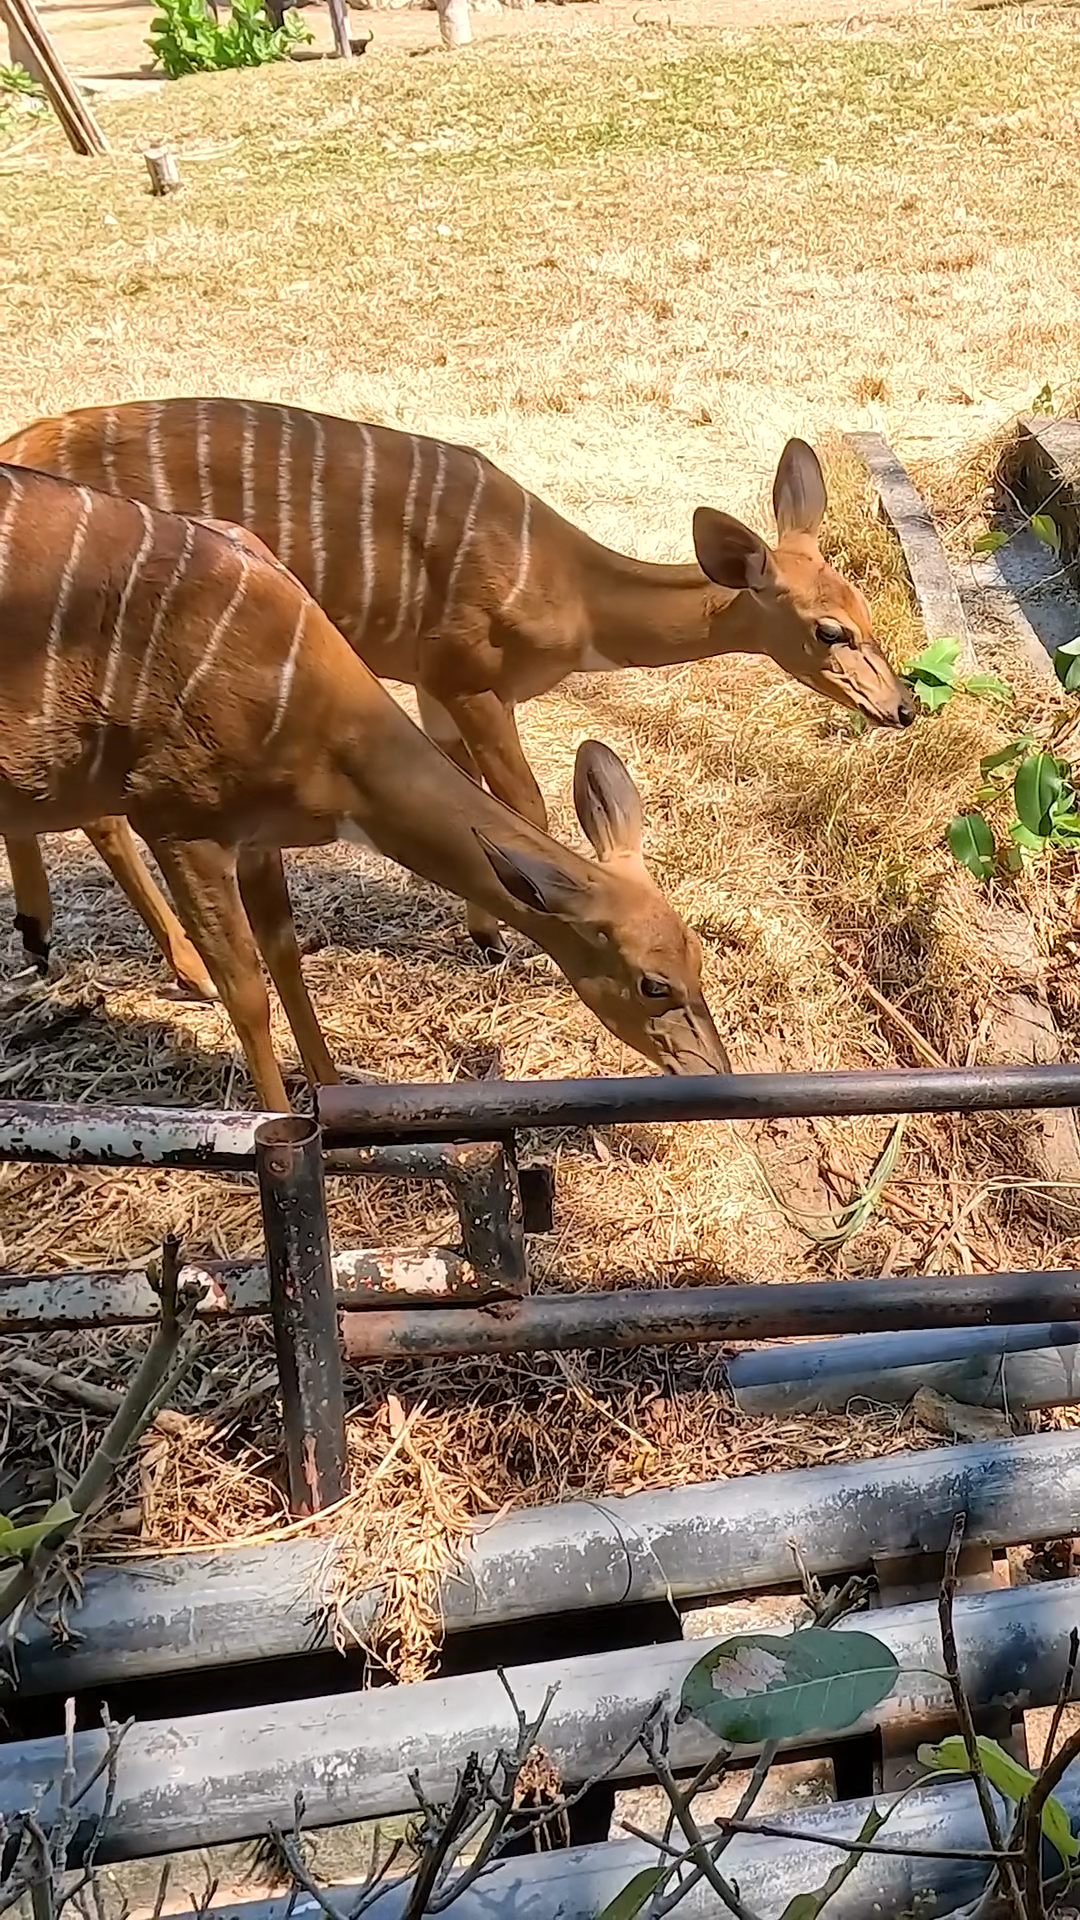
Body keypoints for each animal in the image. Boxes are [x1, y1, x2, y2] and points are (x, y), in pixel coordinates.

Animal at [0, 398, 915, 982]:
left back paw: (40, 937)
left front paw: (481, 936)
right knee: (104, 814)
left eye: (868, 610)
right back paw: (175, 965)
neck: (571, 591)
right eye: (829, 631)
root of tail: (25, 440)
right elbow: (524, 805)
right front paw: (507, 944)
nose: (902, 707)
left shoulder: (434, 687)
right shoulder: (468, 675)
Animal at [0, 463, 732, 1111]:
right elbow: (246, 991)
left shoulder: (256, 837)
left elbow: (287, 959)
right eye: (653, 985)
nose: (715, 1071)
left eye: (699, 955)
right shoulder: (178, 821)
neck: (320, 722)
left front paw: (336, 1097)